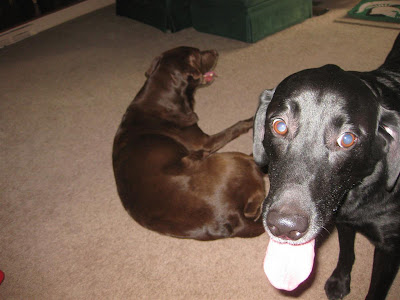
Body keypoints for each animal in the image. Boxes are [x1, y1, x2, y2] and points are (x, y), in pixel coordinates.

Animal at [255, 34, 398, 298]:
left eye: (347, 139)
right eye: (279, 125)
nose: (285, 227)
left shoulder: (389, 248)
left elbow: (376, 289)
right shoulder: (343, 220)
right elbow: (346, 251)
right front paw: (340, 280)